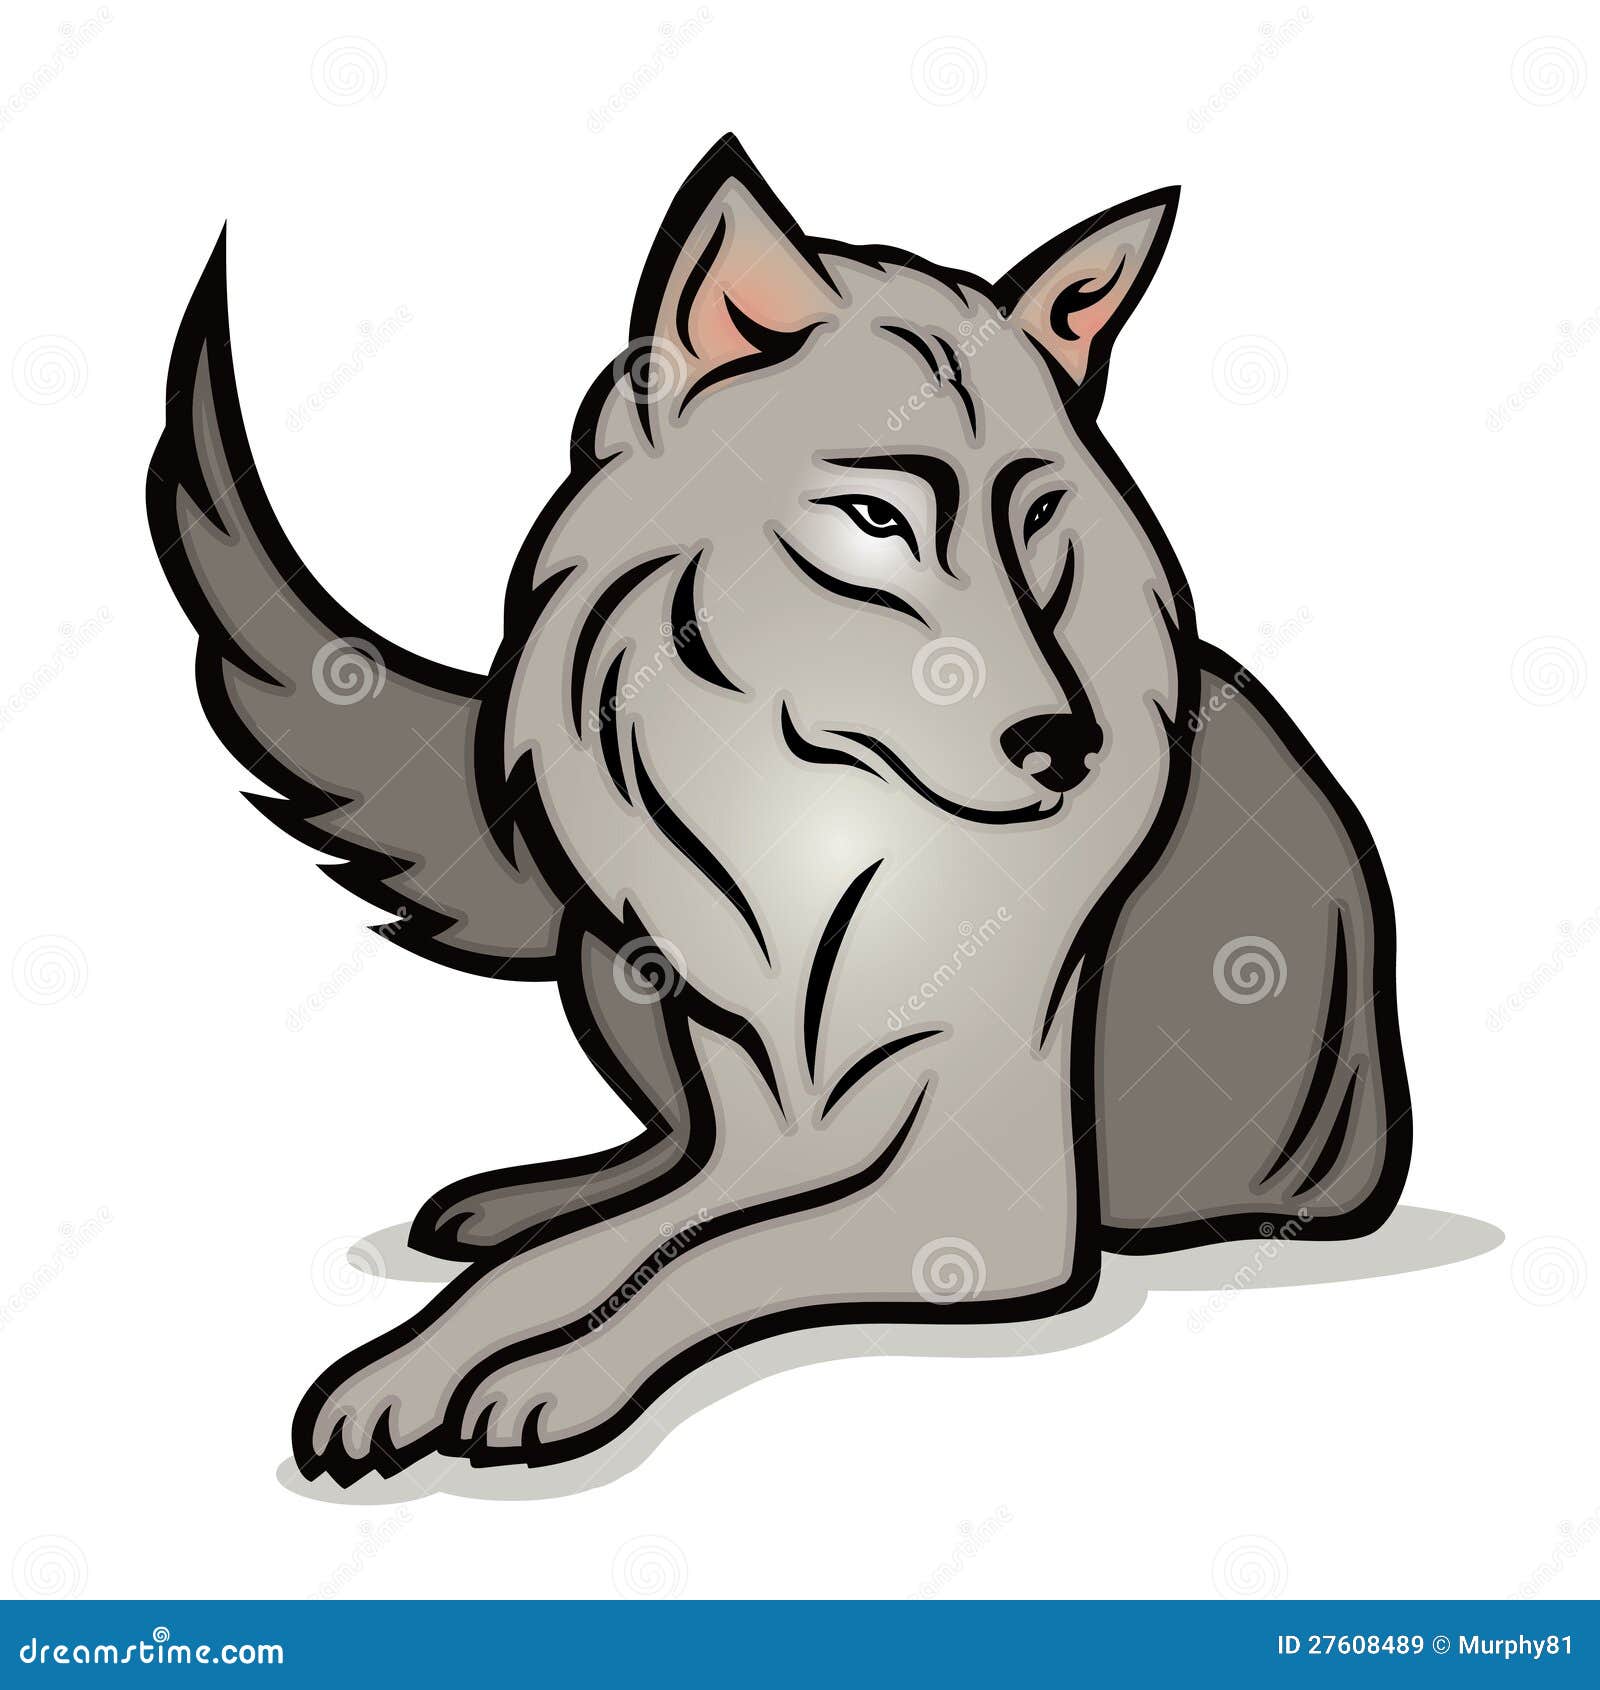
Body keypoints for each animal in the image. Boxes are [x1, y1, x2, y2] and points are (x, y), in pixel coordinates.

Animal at [148, 135, 1409, 1482]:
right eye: (875, 519)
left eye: (1034, 515)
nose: (1065, 745)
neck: (837, 843)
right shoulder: (774, 1133)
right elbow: (599, 1253)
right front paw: (406, 1368)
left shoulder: (977, 1212)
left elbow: (705, 1261)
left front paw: (549, 1378)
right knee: (642, 1162)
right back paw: (519, 1197)